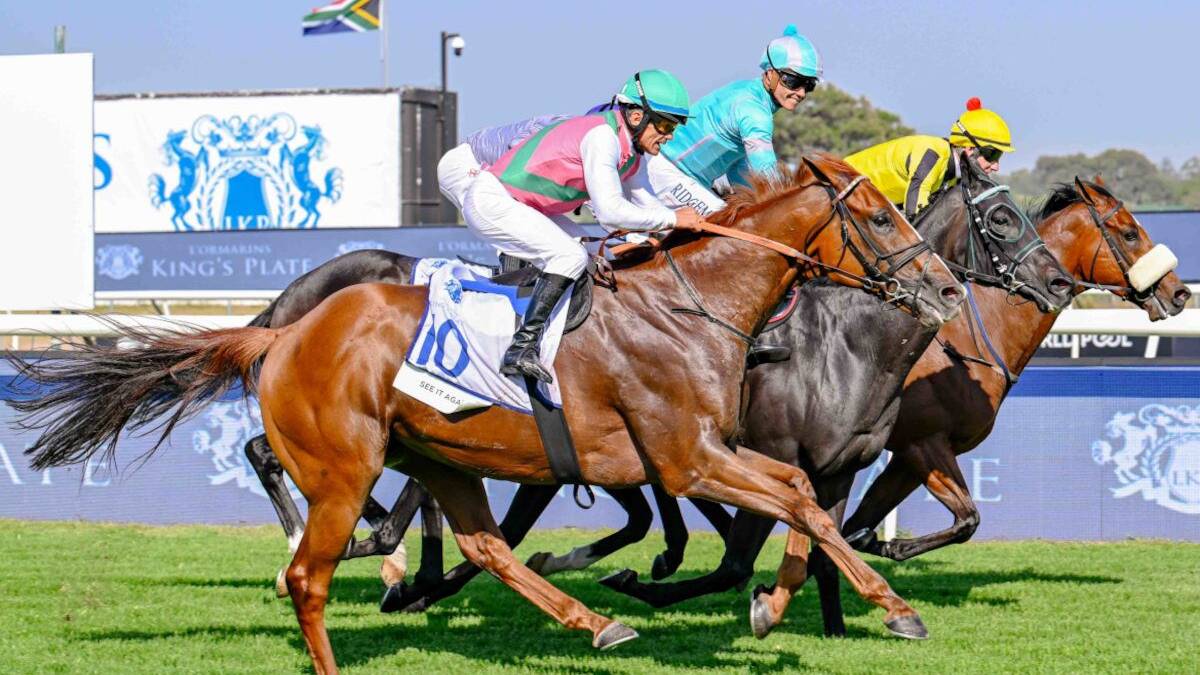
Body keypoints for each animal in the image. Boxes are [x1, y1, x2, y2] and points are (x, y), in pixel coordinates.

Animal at [10, 156, 965, 673]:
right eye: (880, 217)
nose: (950, 289)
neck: (692, 306)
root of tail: (280, 333)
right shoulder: (687, 457)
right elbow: (798, 497)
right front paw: (886, 605)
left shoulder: (702, 454)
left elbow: (802, 494)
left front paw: (810, 599)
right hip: (344, 468)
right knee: (310, 572)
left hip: (438, 455)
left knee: (483, 545)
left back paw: (593, 619)